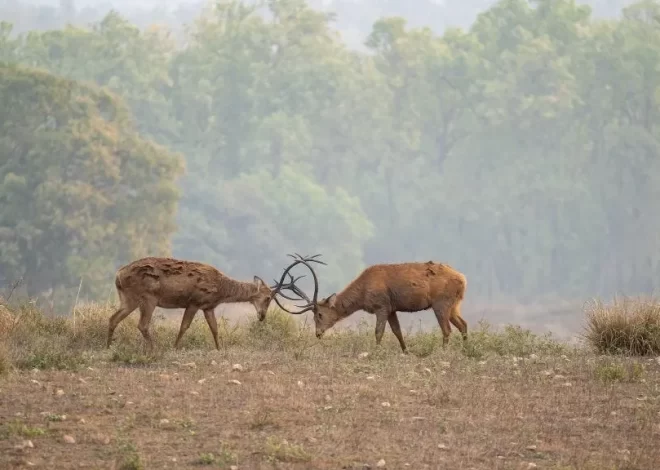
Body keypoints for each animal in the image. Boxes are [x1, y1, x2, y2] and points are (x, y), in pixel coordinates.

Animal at [106, 258, 300, 352]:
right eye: (268, 298)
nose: (262, 316)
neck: (221, 290)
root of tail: (118, 275)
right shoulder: (195, 301)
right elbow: (184, 326)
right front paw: (175, 347)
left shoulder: (208, 306)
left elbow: (214, 328)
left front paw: (219, 349)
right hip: (148, 297)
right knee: (143, 324)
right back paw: (155, 349)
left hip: (128, 298)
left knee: (113, 318)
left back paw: (108, 346)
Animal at [270, 255, 470, 350]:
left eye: (319, 314)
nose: (318, 333)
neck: (363, 292)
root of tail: (463, 278)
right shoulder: (392, 308)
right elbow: (397, 332)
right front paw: (406, 352)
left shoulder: (381, 306)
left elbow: (378, 332)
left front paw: (375, 353)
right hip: (454, 305)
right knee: (463, 325)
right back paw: (465, 352)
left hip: (441, 303)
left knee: (447, 330)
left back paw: (443, 353)